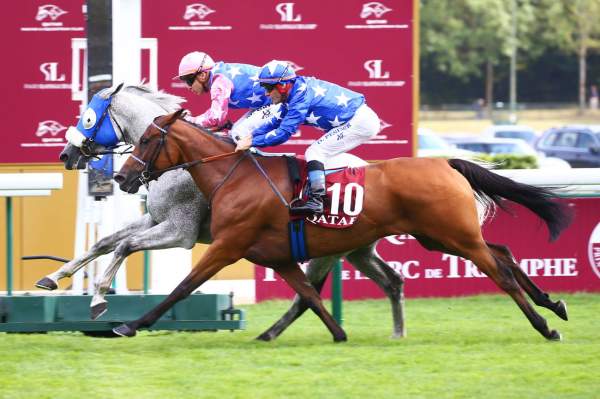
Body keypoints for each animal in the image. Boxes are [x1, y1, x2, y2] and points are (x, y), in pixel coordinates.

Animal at [39, 84, 406, 340]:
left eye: (88, 118)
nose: (66, 154)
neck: (183, 162)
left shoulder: (181, 230)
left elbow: (124, 246)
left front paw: (99, 300)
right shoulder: (155, 218)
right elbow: (105, 243)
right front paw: (53, 278)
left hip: (327, 249)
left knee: (310, 294)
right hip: (356, 249)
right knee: (391, 281)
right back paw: (397, 332)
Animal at [111, 111, 572, 342]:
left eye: (147, 140)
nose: (122, 177)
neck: (234, 176)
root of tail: (445, 162)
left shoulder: (228, 245)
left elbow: (182, 288)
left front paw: (129, 324)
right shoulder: (278, 257)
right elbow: (310, 297)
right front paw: (338, 333)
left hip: (452, 235)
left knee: (501, 273)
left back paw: (545, 326)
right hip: (439, 236)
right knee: (504, 253)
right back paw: (554, 304)